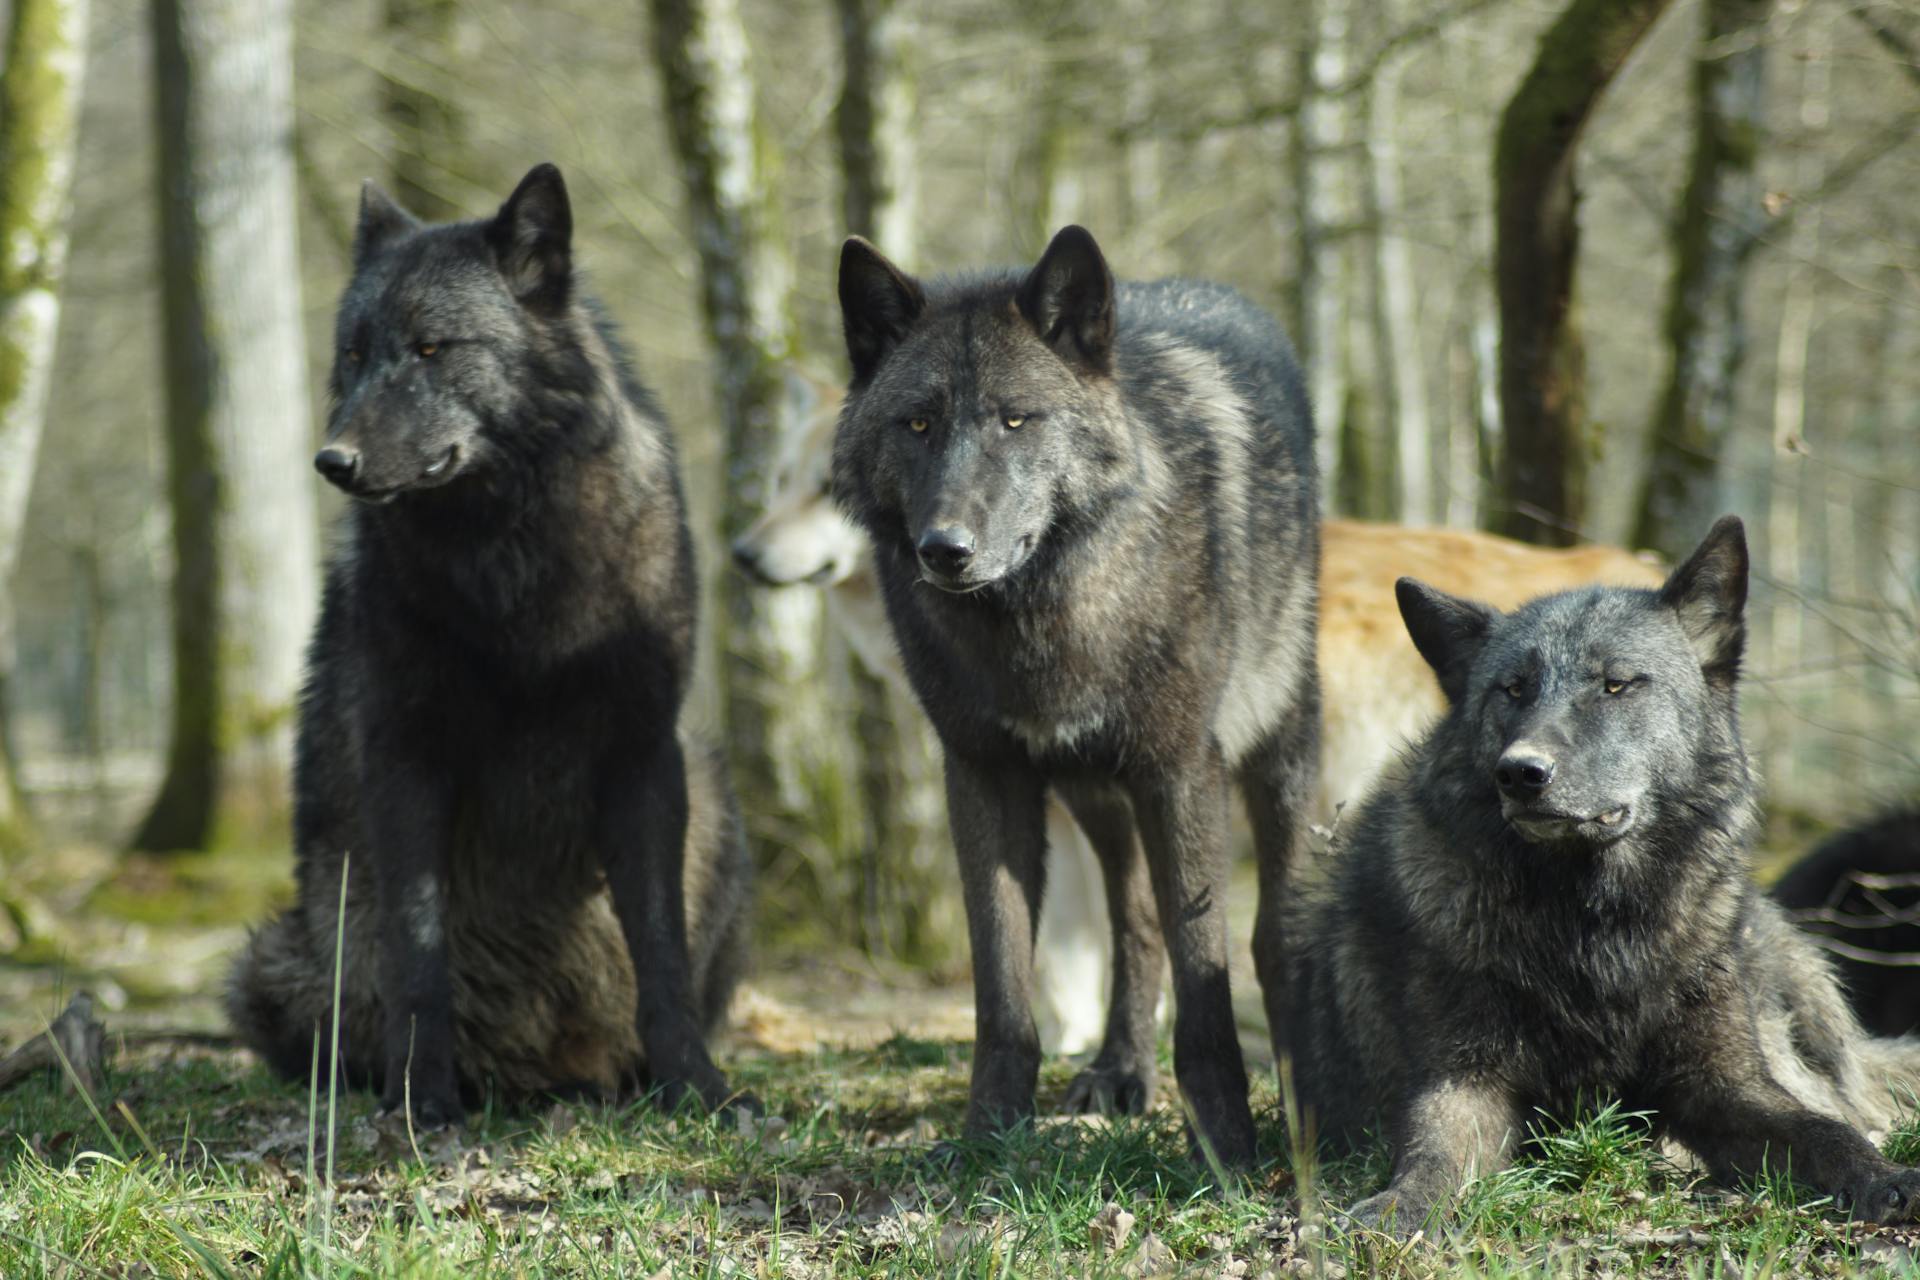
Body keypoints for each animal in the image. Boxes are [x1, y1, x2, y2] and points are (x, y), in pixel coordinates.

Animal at [224, 165, 748, 1128]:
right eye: (353, 354)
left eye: (432, 348)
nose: (332, 462)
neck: (513, 558)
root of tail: (536, 1072)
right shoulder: (405, 759)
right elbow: (420, 952)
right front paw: (421, 1099)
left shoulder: (644, 755)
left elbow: (660, 953)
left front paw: (697, 1087)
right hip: (273, 962)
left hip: (718, 800)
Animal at [833, 225, 1328, 1166]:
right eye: (917, 423)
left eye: (1015, 419)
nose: (944, 549)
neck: (1041, 620)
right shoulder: (984, 775)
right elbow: (1002, 984)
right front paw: (988, 1137)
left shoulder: (1180, 771)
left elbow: (1206, 976)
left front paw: (1225, 1146)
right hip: (1094, 792)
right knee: (1133, 923)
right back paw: (1120, 1071)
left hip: (1275, 755)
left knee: (1272, 932)